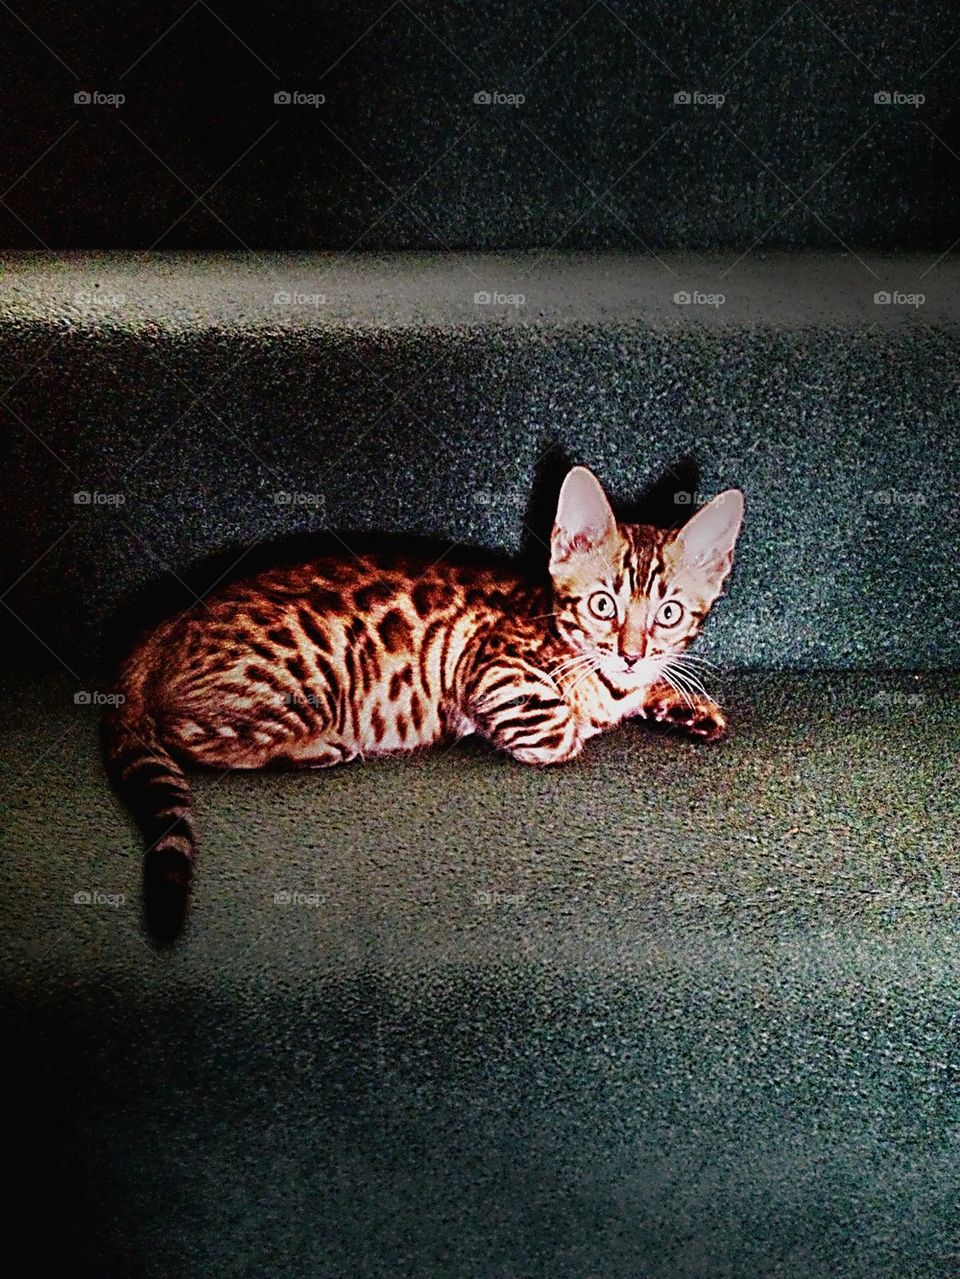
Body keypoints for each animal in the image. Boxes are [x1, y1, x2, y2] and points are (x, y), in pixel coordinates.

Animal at [104, 470, 746, 931]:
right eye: (602, 605)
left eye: (669, 613)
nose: (631, 653)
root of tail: (161, 628)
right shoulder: (494, 669)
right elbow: (564, 726)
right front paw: (592, 710)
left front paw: (684, 704)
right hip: (304, 678)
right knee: (185, 734)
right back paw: (315, 748)